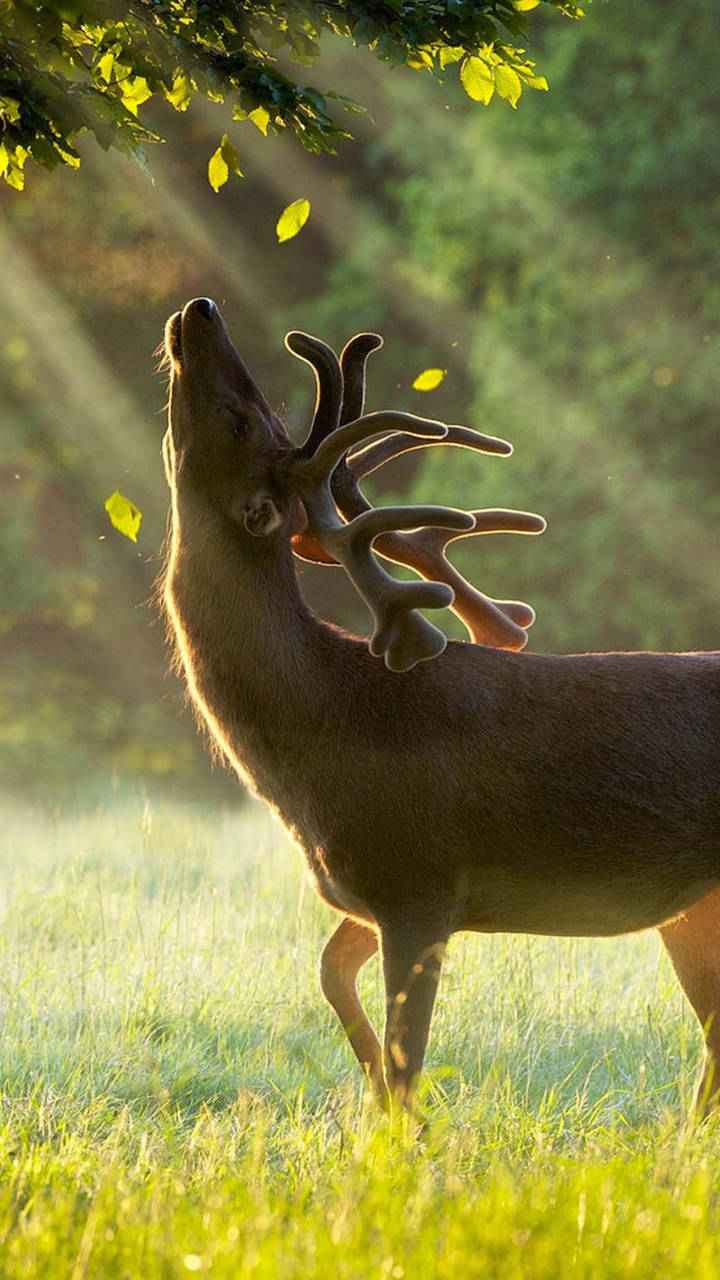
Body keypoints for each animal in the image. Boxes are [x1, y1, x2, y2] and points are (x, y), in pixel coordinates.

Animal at [161, 294, 720, 1116]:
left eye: (242, 420)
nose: (200, 310)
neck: (323, 726)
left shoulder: (417, 879)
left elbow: (406, 1059)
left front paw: (405, 1132)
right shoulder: (370, 892)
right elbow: (331, 978)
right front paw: (381, 1102)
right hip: (691, 909)